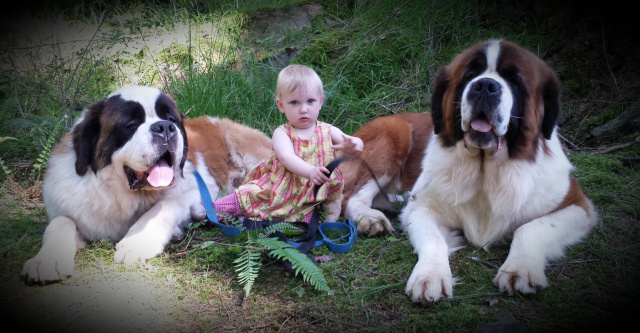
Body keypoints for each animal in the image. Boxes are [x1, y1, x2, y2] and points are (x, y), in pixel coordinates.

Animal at [21, 84, 272, 282]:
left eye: (171, 120)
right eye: (131, 124)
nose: (165, 128)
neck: (121, 193)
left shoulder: (205, 186)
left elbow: (166, 205)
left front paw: (137, 239)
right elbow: (61, 222)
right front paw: (45, 260)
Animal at [342, 39, 596, 300]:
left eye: (514, 80)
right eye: (470, 75)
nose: (485, 86)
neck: (486, 169)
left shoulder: (577, 205)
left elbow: (529, 228)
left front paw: (519, 268)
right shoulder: (420, 207)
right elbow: (433, 239)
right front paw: (429, 275)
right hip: (395, 134)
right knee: (349, 197)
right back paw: (370, 218)